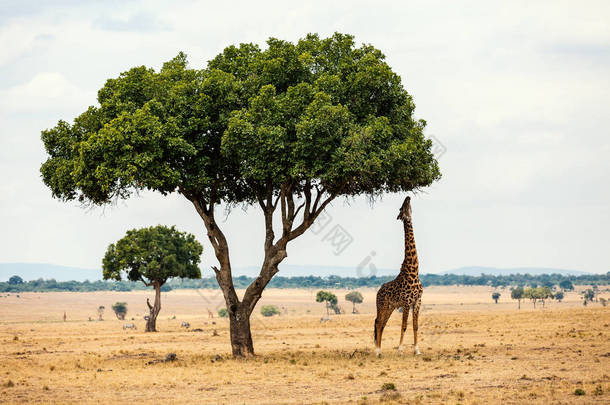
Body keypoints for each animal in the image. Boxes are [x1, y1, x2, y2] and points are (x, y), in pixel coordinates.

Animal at [372, 196, 420, 356]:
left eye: (406, 205)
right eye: (401, 208)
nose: (408, 197)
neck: (413, 270)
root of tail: (378, 291)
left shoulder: (417, 301)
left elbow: (415, 325)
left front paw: (417, 350)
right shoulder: (406, 302)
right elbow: (404, 325)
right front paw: (400, 350)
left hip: (390, 307)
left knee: (381, 323)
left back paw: (379, 350)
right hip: (382, 305)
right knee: (378, 322)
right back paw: (377, 351)